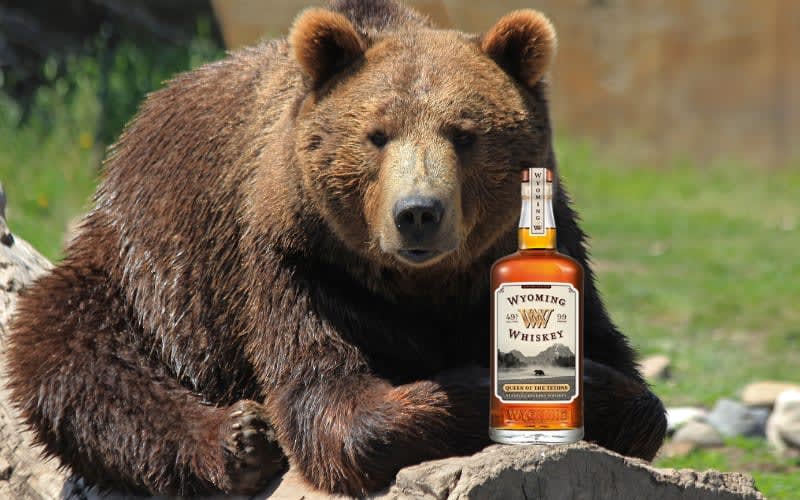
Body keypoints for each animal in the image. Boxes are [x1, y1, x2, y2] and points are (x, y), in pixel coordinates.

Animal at [6, 0, 667, 496]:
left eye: (465, 134)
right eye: (377, 135)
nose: (418, 213)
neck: (418, 286)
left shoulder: (540, 254)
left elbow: (627, 379)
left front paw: (595, 391)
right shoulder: (297, 263)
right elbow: (333, 403)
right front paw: (470, 387)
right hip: (144, 270)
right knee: (73, 355)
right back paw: (238, 440)